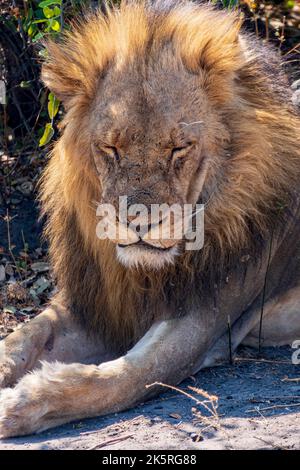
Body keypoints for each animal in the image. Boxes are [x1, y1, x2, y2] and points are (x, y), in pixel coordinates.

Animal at [0, 0, 300, 436]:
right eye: (110, 148)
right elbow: (21, 340)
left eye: (179, 148)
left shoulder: (206, 318)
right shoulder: (100, 303)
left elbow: (123, 378)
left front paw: (20, 403)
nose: (139, 222)